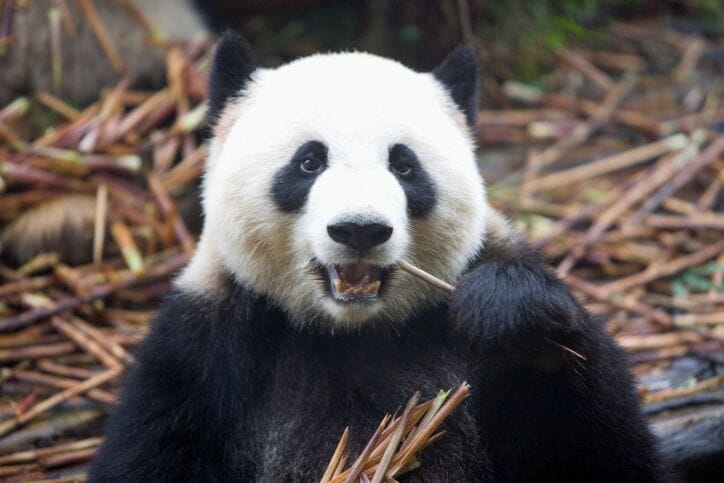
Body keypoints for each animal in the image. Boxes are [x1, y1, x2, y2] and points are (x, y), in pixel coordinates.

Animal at [88, 32, 665, 482]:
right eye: (309, 161)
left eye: (405, 165)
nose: (359, 229)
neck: (353, 333)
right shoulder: (204, 353)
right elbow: (150, 451)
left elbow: (598, 448)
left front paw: (513, 317)